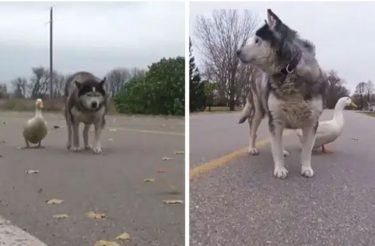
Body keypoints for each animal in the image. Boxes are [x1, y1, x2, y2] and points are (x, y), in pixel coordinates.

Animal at [239, 10, 328, 179]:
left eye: (257, 40)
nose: (237, 51)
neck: (289, 70)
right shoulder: (276, 120)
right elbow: (276, 149)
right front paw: (280, 169)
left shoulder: (312, 122)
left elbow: (307, 150)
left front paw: (306, 167)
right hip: (260, 110)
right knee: (253, 128)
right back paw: (251, 148)